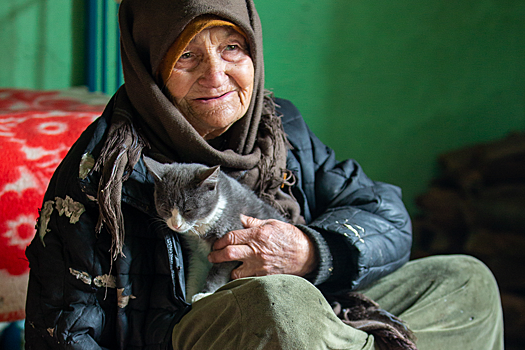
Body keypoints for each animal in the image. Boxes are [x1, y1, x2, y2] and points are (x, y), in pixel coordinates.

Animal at [142, 157, 286, 304]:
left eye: (188, 210)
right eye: (165, 208)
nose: (176, 225)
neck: (200, 229)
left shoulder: (230, 243)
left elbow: (218, 273)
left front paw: (205, 294)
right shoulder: (195, 251)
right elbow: (195, 272)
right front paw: (189, 298)